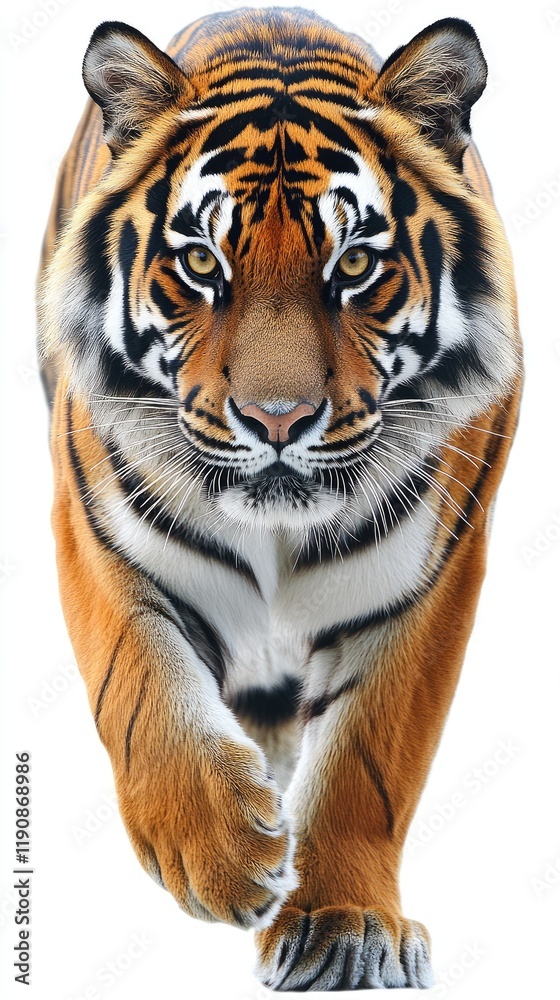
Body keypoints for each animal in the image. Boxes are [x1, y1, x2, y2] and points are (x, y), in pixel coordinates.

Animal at [37, 7, 522, 991]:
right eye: (199, 261)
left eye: (356, 263)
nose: (277, 419)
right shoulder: (95, 529)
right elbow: (141, 690)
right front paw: (223, 856)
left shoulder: (432, 578)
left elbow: (369, 761)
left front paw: (343, 924)